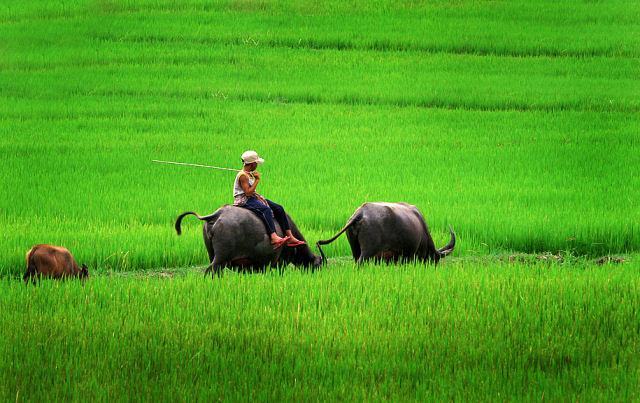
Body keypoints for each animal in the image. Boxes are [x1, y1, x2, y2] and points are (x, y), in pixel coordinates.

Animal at [175, 205, 322, 278]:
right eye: (318, 266)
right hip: (221, 258)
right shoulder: (281, 262)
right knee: (210, 271)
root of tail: (217, 214)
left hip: (212, 254)